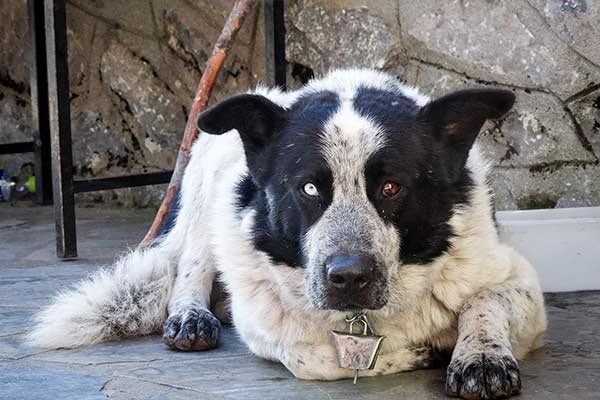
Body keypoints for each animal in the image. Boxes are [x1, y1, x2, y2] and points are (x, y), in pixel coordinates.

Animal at [29, 69, 548, 400]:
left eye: (391, 187)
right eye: (310, 187)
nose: (348, 277)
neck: (363, 317)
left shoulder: (518, 280)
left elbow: (483, 302)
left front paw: (480, 356)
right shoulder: (265, 322)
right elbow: (321, 357)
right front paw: (420, 352)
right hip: (208, 164)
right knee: (190, 269)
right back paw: (192, 316)